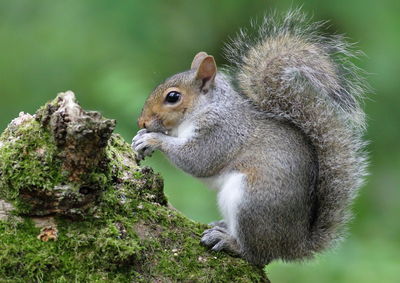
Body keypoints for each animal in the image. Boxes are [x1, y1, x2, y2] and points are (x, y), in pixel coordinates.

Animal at [131, 10, 366, 268]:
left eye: (173, 97)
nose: (141, 122)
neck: (208, 107)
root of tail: (294, 245)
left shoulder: (222, 133)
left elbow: (198, 160)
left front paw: (152, 139)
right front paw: (141, 138)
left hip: (251, 202)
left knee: (257, 255)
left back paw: (229, 242)